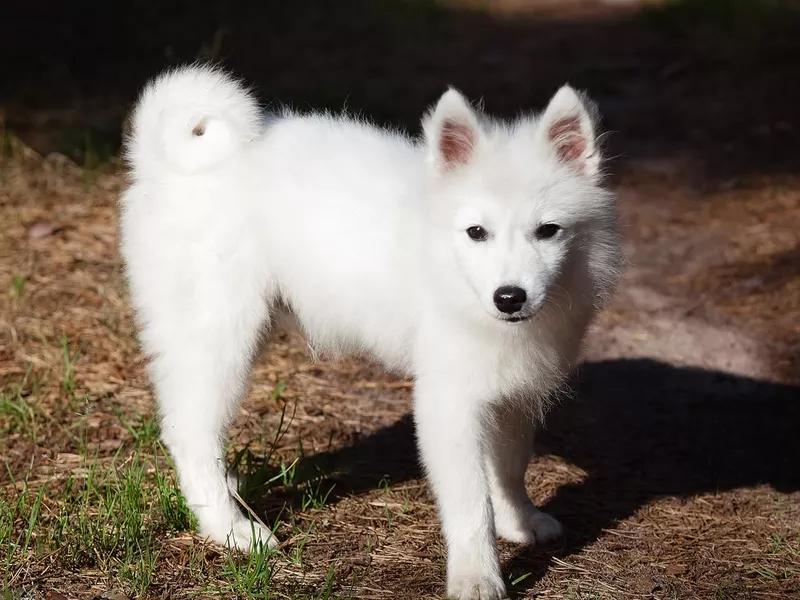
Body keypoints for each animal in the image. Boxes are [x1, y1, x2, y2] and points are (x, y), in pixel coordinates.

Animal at [119, 65, 620, 600]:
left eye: (549, 231)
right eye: (476, 233)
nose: (510, 298)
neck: (447, 265)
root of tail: (159, 164)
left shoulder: (510, 393)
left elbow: (507, 468)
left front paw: (519, 522)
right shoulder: (449, 404)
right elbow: (470, 506)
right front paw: (477, 577)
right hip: (220, 337)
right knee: (190, 433)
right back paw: (231, 529)